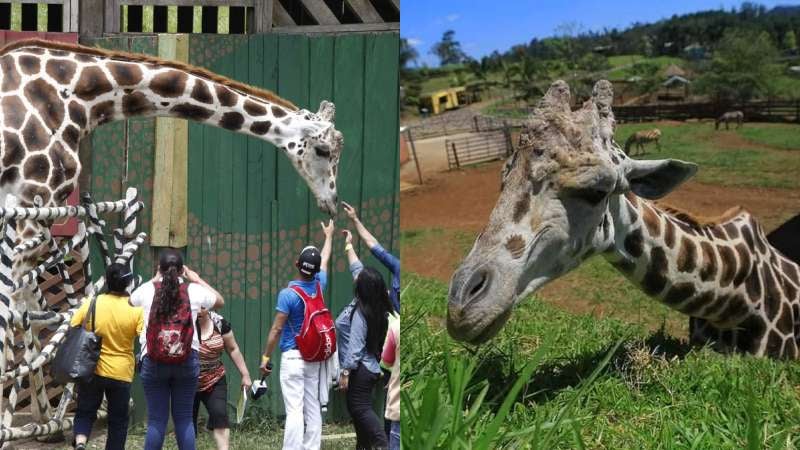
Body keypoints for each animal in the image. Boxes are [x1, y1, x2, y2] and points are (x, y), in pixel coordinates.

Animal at [0, 38, 343, 433]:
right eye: (323, 150)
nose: (332, 203)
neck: (79, 97)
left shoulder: (27, 212)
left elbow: (23, 304)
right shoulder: (29, 204)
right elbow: (14, 307)